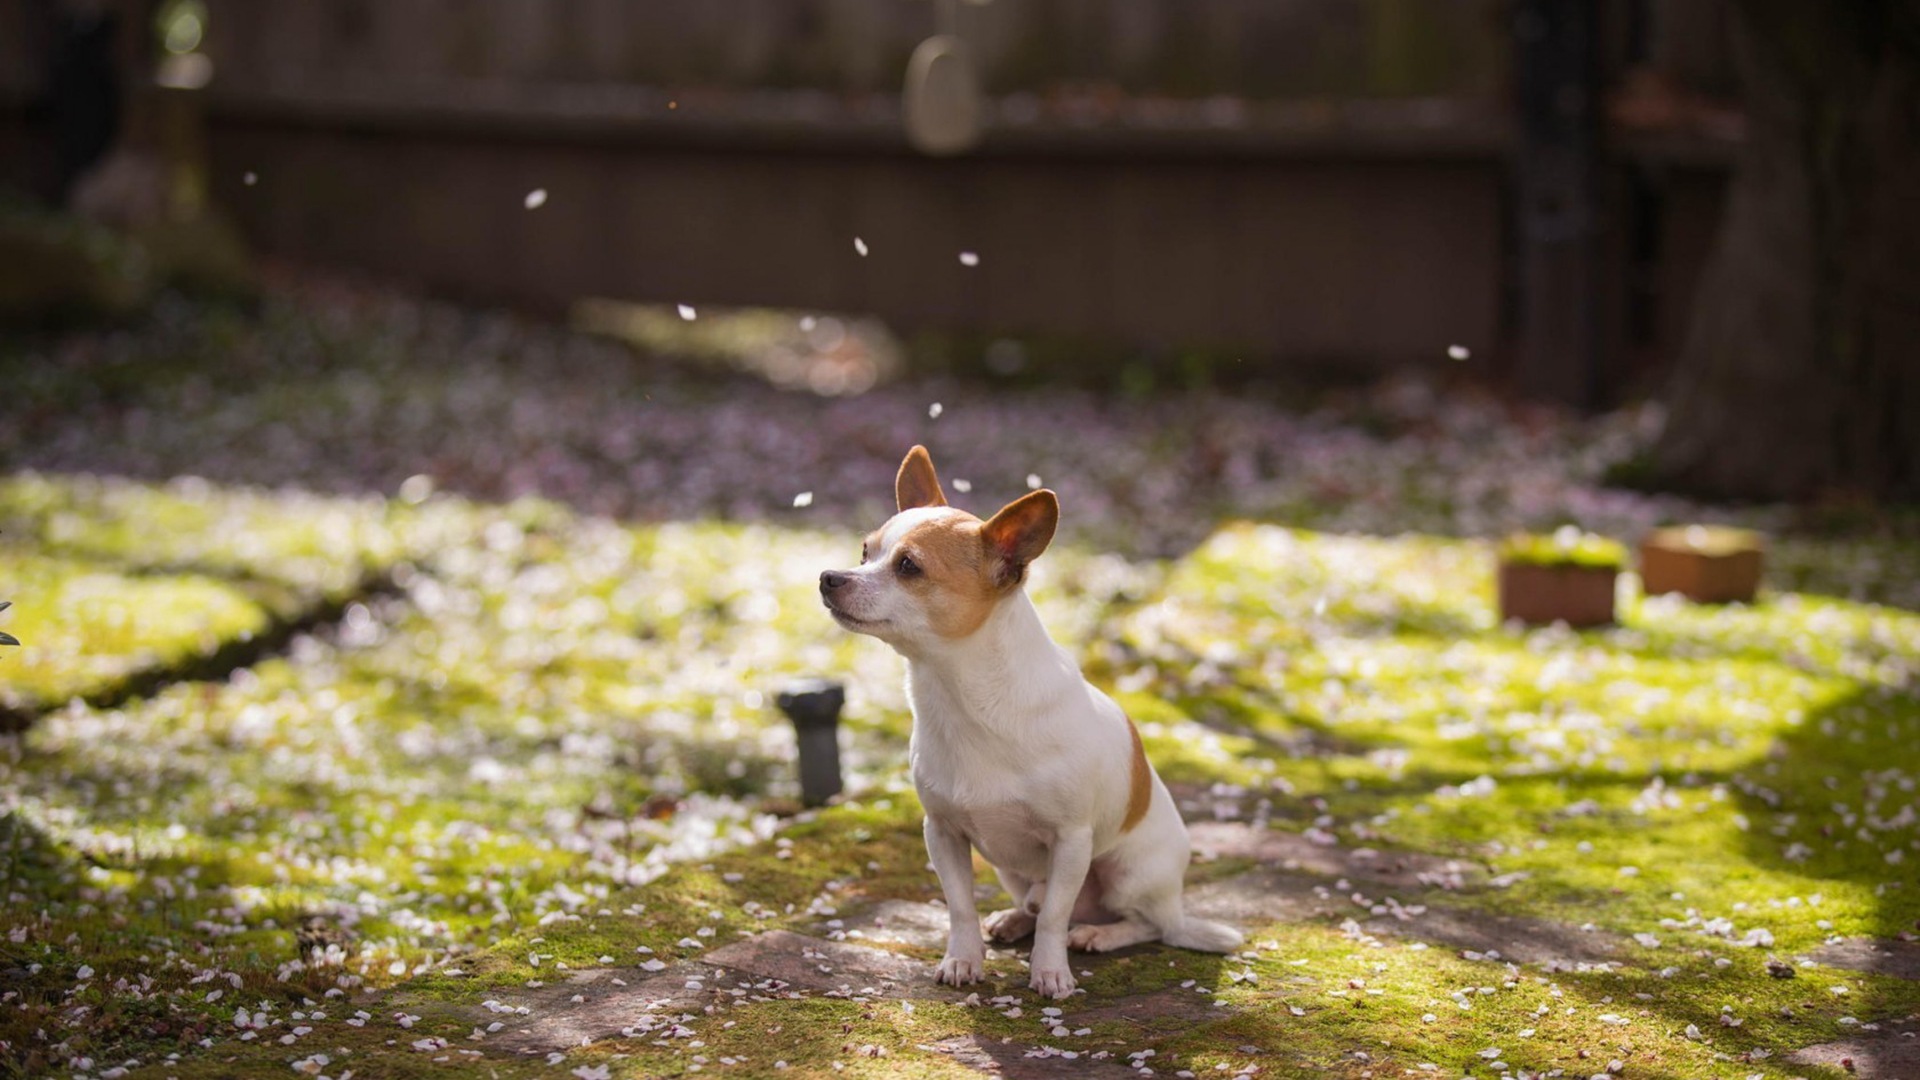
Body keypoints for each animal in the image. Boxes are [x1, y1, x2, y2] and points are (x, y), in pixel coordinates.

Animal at [814, 443, 1236, 991]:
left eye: (908, 566)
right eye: (865, 553)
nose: (828, 577)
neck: (965, 700)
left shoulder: (1072, 840)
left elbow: (1057, 916)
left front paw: (1050, 971)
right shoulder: (942, 833)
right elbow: (961, 906)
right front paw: (963, 958)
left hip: (1127, 874)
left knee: (1143, 924)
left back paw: (1099, 935)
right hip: (1012, 872)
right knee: (1039, 902)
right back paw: (1016, 919)